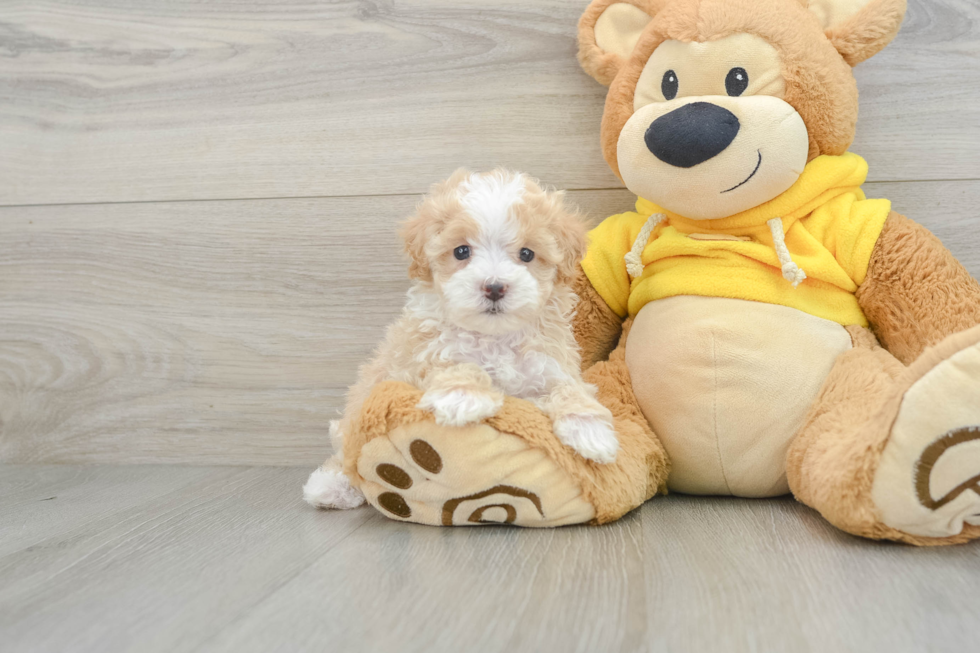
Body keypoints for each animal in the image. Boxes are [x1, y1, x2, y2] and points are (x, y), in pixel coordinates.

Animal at [302, 168, 616, 510]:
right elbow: (452, 362)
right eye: (461, 251)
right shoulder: (418, 358)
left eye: (527, 254)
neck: (494, 337)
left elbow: (570, 388)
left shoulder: (551, 365)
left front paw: (591, 428)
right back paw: (331, 485)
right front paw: (463, 396)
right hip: (360, 402)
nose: (494, 287)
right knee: (347, 450)